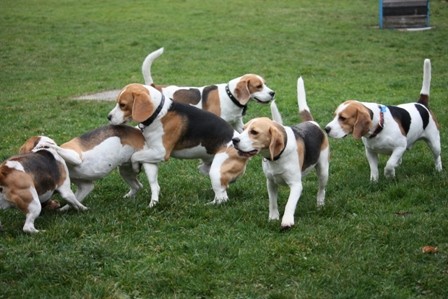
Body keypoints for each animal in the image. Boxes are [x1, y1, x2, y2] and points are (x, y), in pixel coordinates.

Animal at [107, 83, 250, 207]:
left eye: (122, 105)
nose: (108, 117)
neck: (158, 112)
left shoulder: (161, 152)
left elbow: (135, 156)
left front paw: (136, 167)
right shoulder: (152, 152)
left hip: (216, 171)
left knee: (222, 198)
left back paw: (206, 205)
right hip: (205, 169)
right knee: (222, 189)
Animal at [142, 47, 274, 132]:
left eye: (265, 83)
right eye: (258, 86)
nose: (273, 93)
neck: (230, 96)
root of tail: (154, 87)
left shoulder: (238, 123)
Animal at [233, 77, 330, 230]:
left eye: (254, 132)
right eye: (243, 129)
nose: (234, 140)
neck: (276, 157)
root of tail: (311, 122)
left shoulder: (296, 185)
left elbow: (290, 204)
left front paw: (287, 220)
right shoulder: (270, 182)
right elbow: (272, 202)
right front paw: (273, 218)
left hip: (323, 170)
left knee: (321, 189)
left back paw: (320, 204)